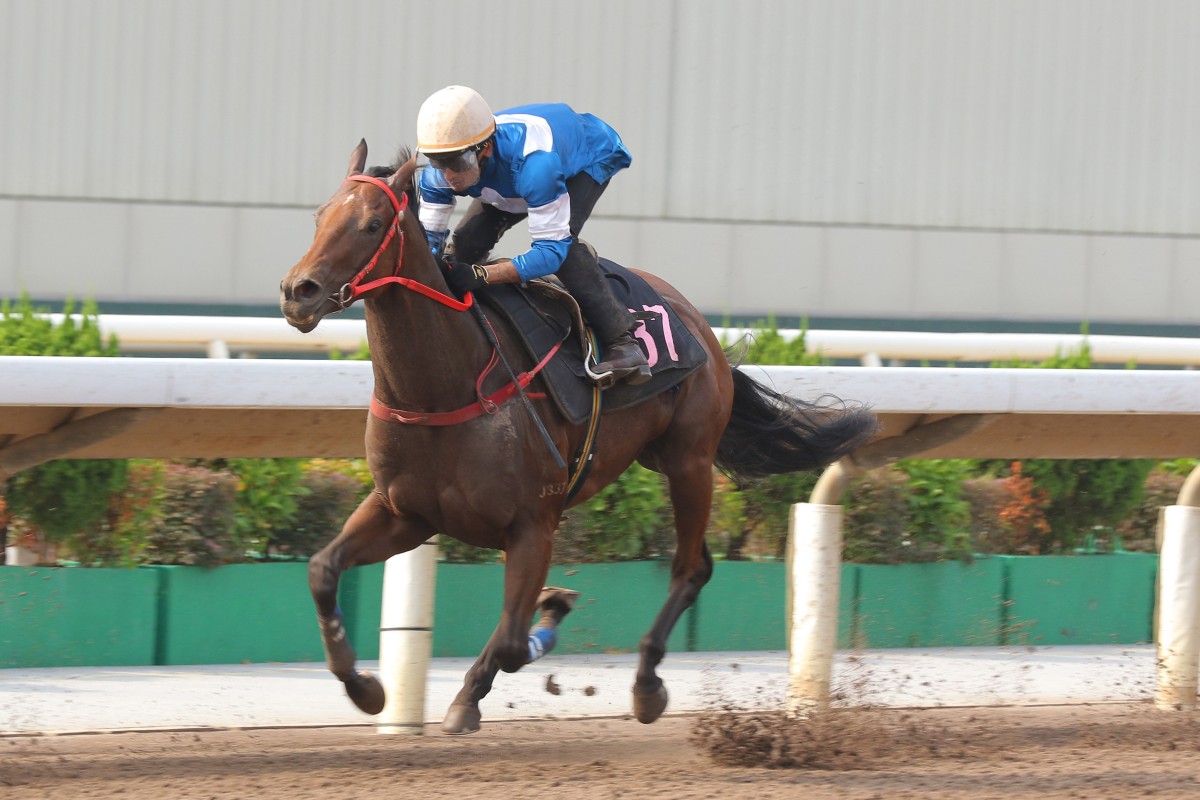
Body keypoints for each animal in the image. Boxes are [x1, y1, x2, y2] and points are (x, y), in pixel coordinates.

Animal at [280, 140, 883, 734]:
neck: (443, 390)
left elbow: (512, 640)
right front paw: (365, 688)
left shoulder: (533, 525)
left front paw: (519, 643)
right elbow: (321, 571)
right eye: (319, 217)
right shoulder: (405, 512)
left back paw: (647, 687)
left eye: (372, 224)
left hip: (690, 460)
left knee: (690, 568)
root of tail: (697, 323)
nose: (297, 291)